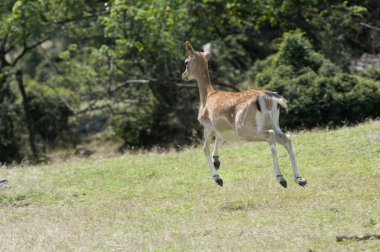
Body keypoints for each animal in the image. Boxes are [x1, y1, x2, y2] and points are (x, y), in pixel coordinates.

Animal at [180, 41, 306, 187]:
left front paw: (218, 178)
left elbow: (205, 148)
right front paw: (217, 161)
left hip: (245, 128)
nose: (183, 75)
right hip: (273, 122)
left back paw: (281, 179)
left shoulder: (207, 124)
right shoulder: (220, 126)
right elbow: (220, 137)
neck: (207, 96)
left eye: (186, 62)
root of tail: (267, 98)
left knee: (271, 137)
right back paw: (300, 179)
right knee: (287, 138)